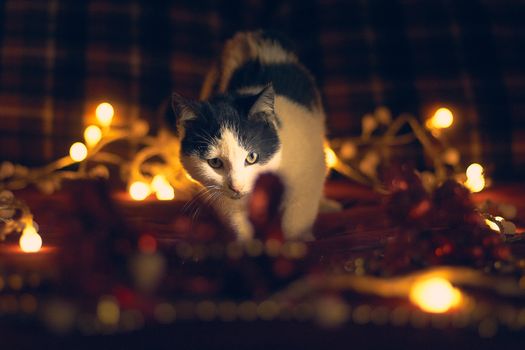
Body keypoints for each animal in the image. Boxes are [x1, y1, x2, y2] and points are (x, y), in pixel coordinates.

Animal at [171, 30, 328, 241]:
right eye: (215, 162)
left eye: (252, 157)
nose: (236, 187)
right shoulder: (223, 199)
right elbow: (238, 224)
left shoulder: (309, 173)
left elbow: (296, 218)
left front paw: (294, 242)